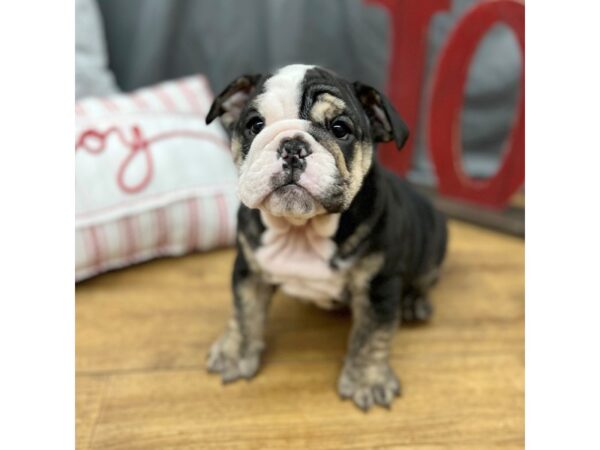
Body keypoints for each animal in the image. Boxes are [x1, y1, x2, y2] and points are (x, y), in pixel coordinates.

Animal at [205, 64, 446, 412]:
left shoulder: (378, 286)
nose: (292, 146)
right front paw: (235, 353)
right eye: (255, 125)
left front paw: (367, 381)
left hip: (434, 246)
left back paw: (415, 303)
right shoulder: (248, 269)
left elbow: (373, 337)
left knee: (426, 278)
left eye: (340, 128)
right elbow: (244, 311)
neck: (301, 229)